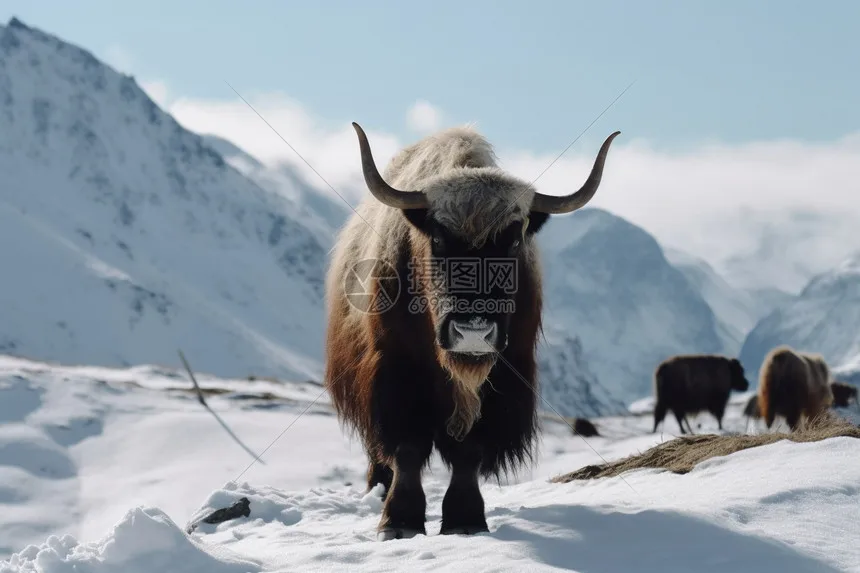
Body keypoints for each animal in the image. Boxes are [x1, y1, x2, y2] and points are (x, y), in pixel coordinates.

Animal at [324, 122, 620, 540]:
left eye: (513, 240)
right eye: (438, 238)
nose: (473, 332)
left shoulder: (504, 376)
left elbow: (470, 450)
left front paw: (465, 520)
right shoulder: (395, 370)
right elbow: (408, 446)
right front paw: (399, 521)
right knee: (378, 447)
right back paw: (377, 490)